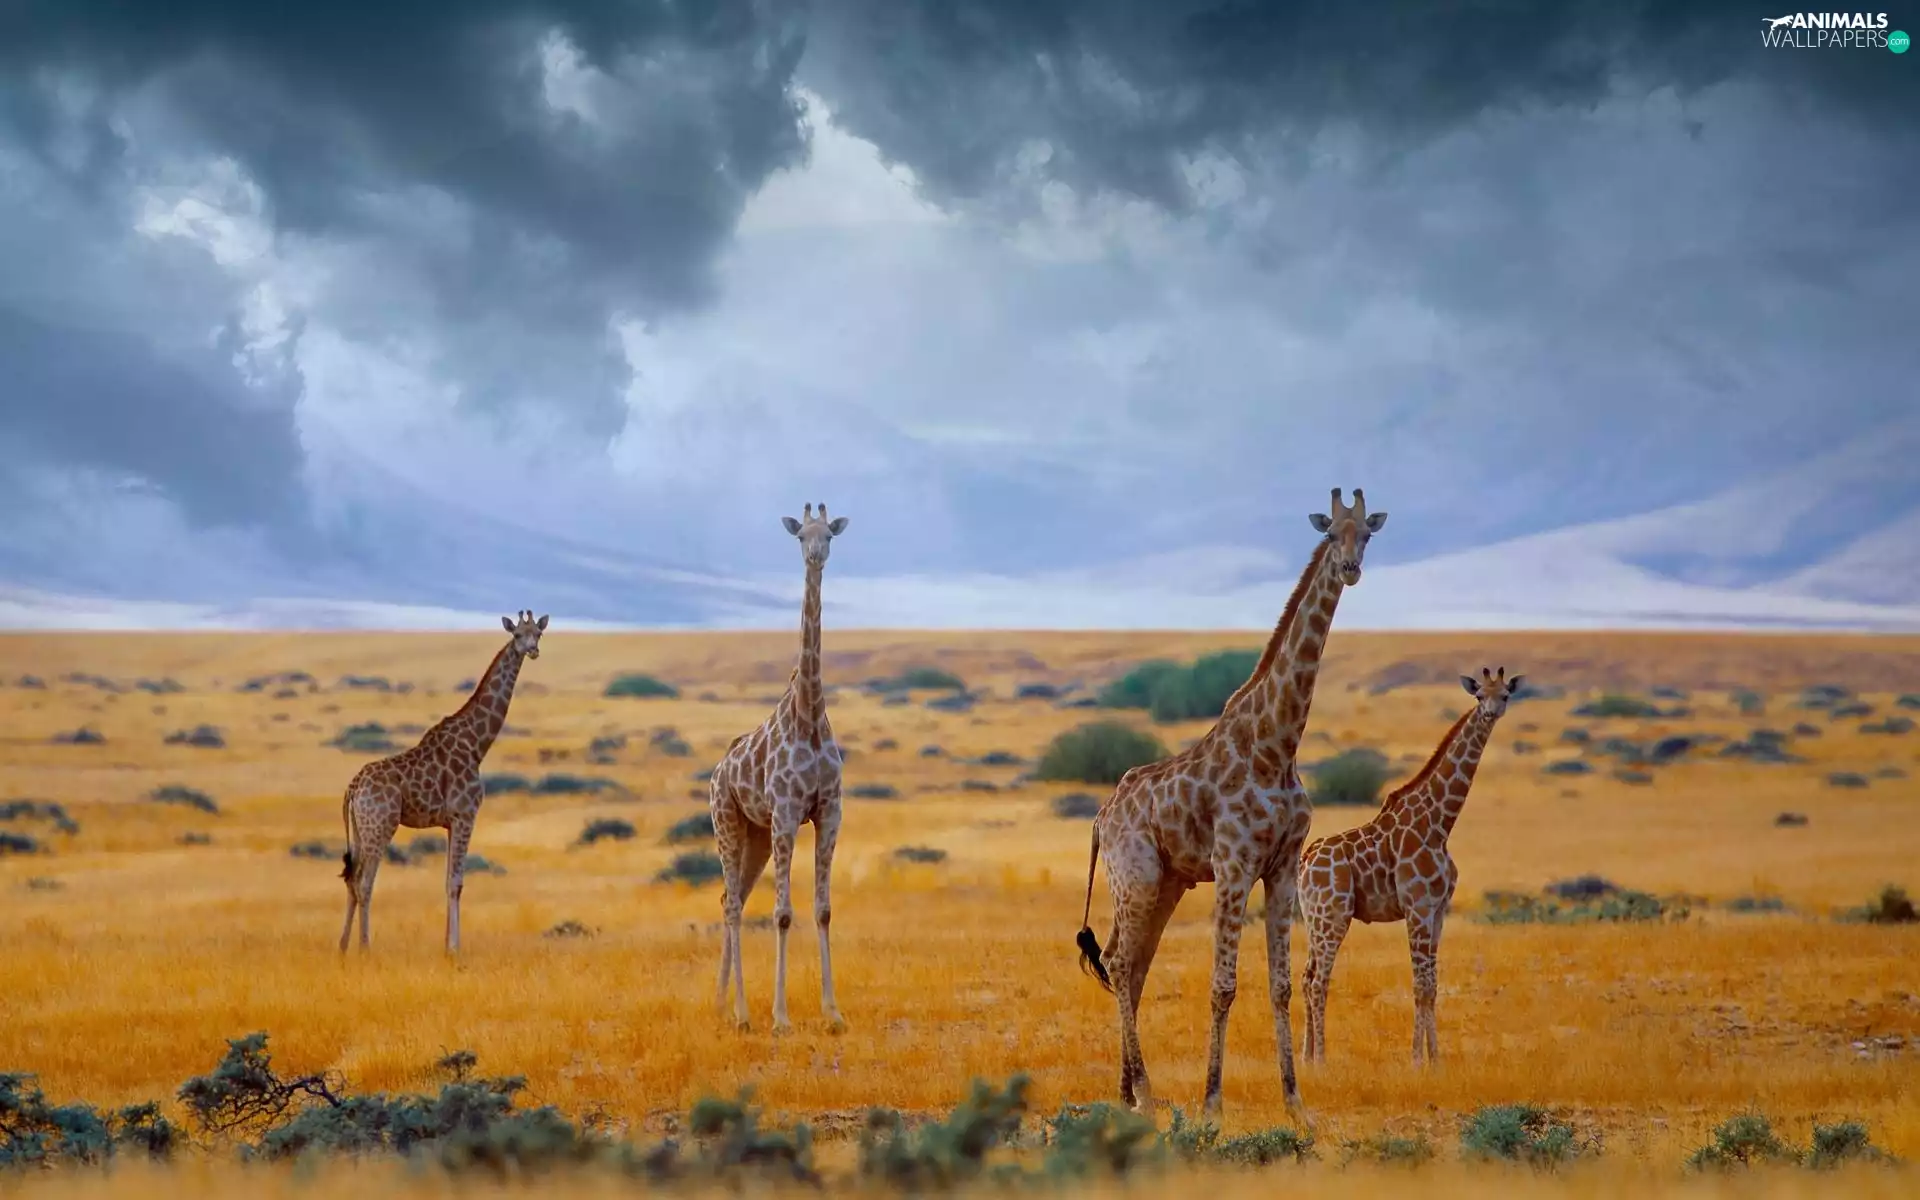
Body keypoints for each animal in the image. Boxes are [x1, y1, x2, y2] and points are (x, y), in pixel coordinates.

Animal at [337, 610, 547, 955]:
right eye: (517, 634)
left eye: (538, 634)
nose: (532, 650)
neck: (477, 744)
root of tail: (352, 789)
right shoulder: (466, 815)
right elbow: (456, 882)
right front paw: (454, 949)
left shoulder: (450, 822)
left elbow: (448, 881)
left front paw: (447, 946)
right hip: (380, 824)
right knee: (365, 881)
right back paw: (365, 949)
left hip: (359, 827)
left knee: (352, 879)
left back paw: (342, 948)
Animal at [710, 502, 849, 1034]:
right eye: (800, 536)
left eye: (829, 534)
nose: (816, 556)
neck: (808, 715)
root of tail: (716, 773)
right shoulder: (787, 814)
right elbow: (783, 913)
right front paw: (781, 1018)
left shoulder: (829, 811)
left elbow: (823, 909)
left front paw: (833, 1013)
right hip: (727, 824)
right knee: (732, 905)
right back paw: (744, 1014)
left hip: (754, 836)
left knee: (732, 900)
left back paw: (722, 1004)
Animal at [1075, 487, 1388, 1120]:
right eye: (1330, 533)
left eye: (1367, 533)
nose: (1350, 568)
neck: (1276, 744)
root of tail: (1100, 818)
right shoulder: (1234, 864)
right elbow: (1223, 985)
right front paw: (1212, 1105)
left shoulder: (1283, 866)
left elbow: (1281, 984)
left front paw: (1296, 1104)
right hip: (1137, 876)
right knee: (1119, 963)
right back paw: (1146, 1094)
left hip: (1167, 883)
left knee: (1131, 966)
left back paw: (1127, 1094)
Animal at [1298, 666, 1524, 1066]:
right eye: (1479, 694)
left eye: (1506, 695)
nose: (1491, 712)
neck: (1440, 823)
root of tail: (1306, 861)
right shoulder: (1417, 906)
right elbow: (1419, 984)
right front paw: (1417, 1060)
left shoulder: (1438, 910)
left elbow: (1432, 984)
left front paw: (1436, 1059)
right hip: (1333, 915)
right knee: (1319, 980)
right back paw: (1321, 1061)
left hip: (1314, 917)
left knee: (1306, 976)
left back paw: (1307, 1058)